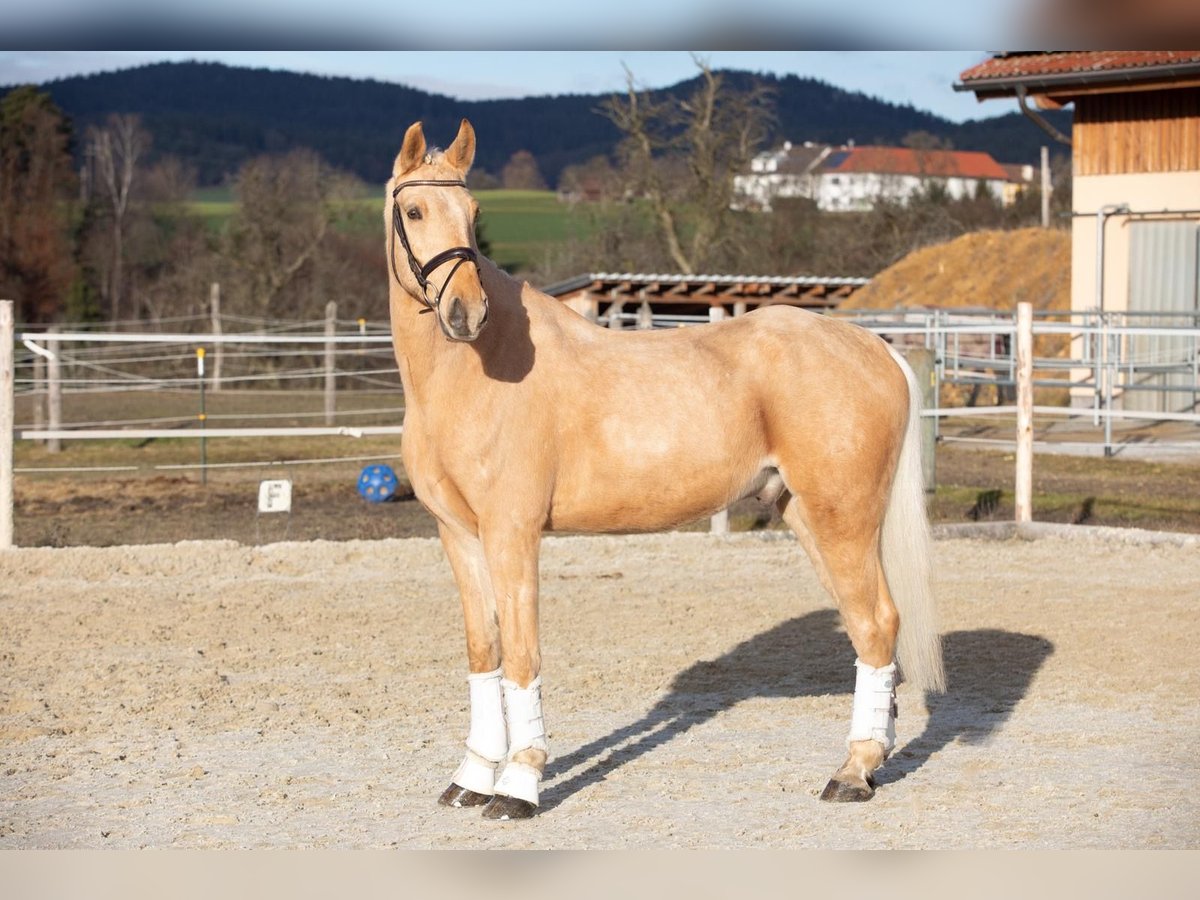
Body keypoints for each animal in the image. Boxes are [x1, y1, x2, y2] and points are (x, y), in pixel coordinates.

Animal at [388, 120, 940, 825]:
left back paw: (852, 773)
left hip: (843, 519)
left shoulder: (512, 533)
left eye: (474, 212)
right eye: (413, 210)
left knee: (876, 624)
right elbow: (484, 651)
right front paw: (472, 778)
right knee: (870, 623)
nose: (465, 313)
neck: (474, 373)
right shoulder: (459, 535)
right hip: (807, 515)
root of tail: (875, 348)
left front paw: (518, 786)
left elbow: (522, 652)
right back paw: (868, 764)